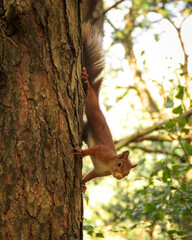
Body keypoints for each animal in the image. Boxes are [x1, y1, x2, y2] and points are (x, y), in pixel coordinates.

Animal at [74, 23, 136, 191]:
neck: (109, 163)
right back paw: (86, 81)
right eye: (119, 164)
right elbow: (91, 150)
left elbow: (89, 175)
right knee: (89, 94)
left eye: (127, 173)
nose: (119, 177)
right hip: (91, 104)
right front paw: (82, 152)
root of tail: (96, 95)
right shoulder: (100, 150)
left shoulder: (99, 171)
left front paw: (83, 184)